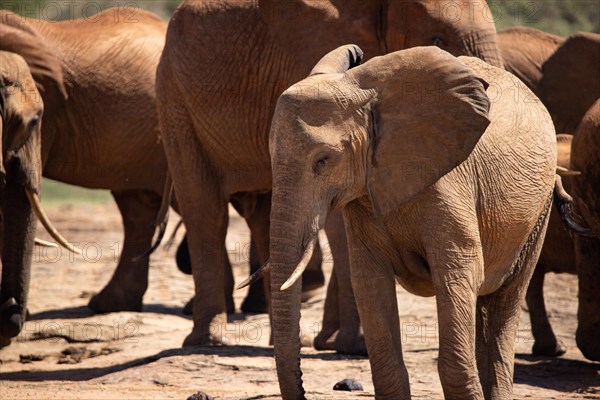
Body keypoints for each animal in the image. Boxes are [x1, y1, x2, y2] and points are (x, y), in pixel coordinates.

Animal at [157, 0, 504, 348]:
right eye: (438, 40)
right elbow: (338, 225)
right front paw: (354, 346)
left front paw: (333, 342)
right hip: (176, 103)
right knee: (205, 211)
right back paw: (209, 340)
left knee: (262, 217)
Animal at [266, 44, 556, 400]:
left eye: (323, 160)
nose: (305, 390)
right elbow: (369, 280)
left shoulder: (448, 181)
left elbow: (458, 271)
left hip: (540, 208)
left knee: (507, 298)